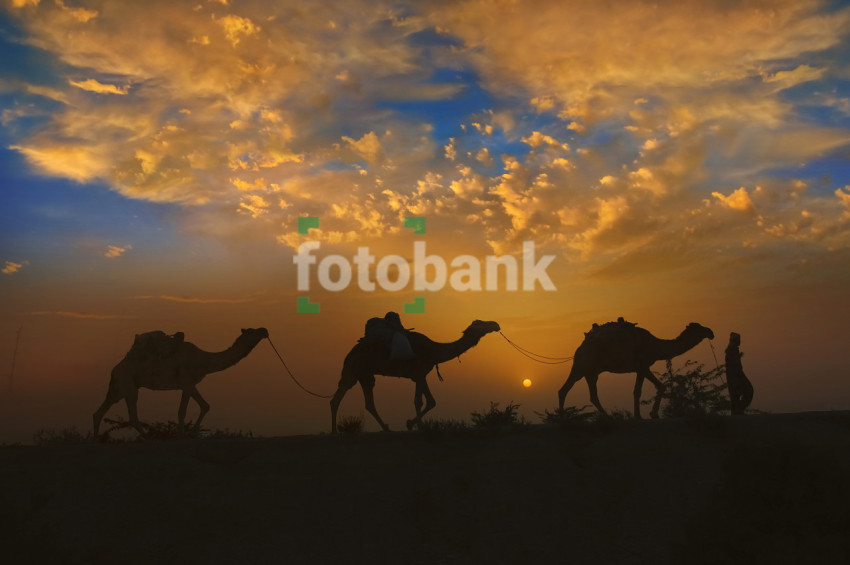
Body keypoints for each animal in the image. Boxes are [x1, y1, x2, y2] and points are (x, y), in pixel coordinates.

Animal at [92, 326, 266, 436]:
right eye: (252, 331)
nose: (264, 330)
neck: (204, 360)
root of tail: (115, 369)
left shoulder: (190, 384)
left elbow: (205, 405)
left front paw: (192, 433)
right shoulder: (187, 383)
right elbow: (182, 411)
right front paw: (182, 435)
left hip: (118, 388)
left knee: (99, 412)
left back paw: (96, 439)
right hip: (127, 383)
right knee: (132, 417)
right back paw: (150, 437)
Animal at [332, 318, 500, 432]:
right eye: (482, 324)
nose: (496, 324)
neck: (434, 351)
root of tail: (349, 354)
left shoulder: (420, 375)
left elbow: (431, 401)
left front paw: (410, 423)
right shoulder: (419, 373)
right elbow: (418, 401)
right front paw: (420, 426)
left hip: (365, 375)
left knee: (369, 403)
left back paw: (386, 428)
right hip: (352, 369)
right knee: (337, 398)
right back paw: (334, 431)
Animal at [560, 320, 712, 416]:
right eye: (699, 327)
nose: (710, 332)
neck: (657, 346)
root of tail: (579, 348)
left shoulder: (642, 368)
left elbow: (659, 386)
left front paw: (653, 414)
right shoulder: (642, 366)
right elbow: (638, 391)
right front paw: (640, 416)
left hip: (591, 372)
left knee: (591, 395)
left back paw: (608, 417)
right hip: (581, 366)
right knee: (564, 389)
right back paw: (562, 419)